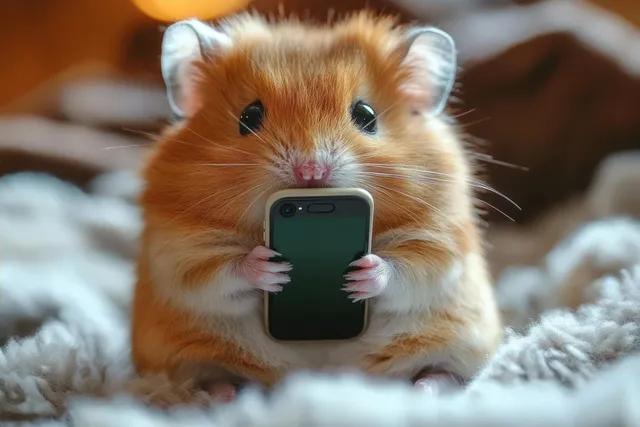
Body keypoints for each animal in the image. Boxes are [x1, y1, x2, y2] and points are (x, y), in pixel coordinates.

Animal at [131, 11, 503, 401]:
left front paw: (363, 273)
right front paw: (268, 266)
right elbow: (221, 272)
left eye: (366, 116)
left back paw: (424, 388)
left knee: (444, 373)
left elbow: (407, 269)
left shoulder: (439, 240)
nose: (311, 171)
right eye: (248, 117)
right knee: (210, 378)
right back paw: (225, 394)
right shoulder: (180, 250)